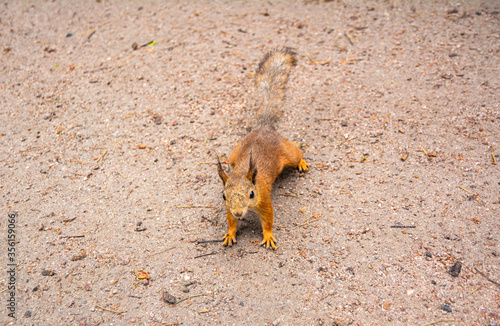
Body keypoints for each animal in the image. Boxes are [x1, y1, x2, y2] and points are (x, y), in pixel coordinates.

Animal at [218, 46, 308, 250]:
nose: (238, 212)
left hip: (287, 152)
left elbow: (268, 220)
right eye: (224, 196)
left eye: (252, 193)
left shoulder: (265, 200)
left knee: (295, 151)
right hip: (236, 150)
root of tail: (264, 127)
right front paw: (230, 233)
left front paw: (268, 236)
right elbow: (230, 221)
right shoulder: (228, 208)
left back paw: (302, 162)